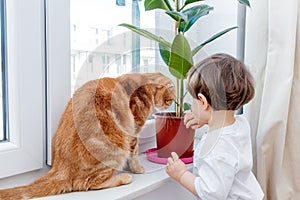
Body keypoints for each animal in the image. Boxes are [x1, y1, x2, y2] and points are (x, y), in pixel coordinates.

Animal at [0, 72, 173, 199]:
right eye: (170, 97)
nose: (173, 102)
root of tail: (59, 167)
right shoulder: (133, 130)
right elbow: (134, 153)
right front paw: (137, 169)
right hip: (114, 149)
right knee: (85, 183)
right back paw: (123, 177)